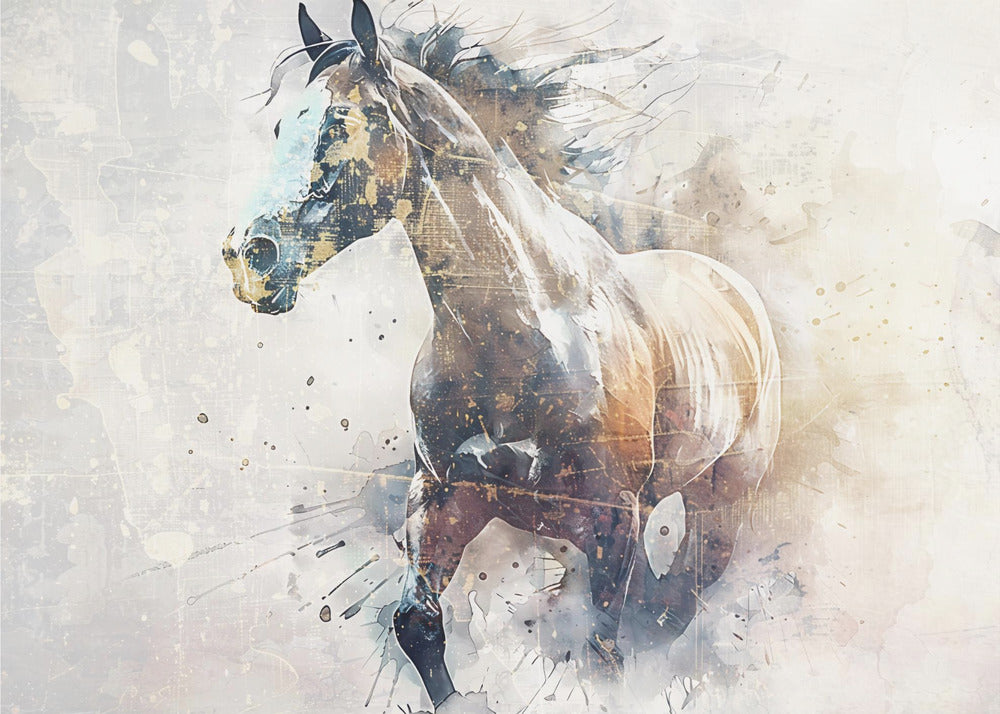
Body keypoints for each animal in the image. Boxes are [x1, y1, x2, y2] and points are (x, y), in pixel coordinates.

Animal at [223, 2, 780, 709]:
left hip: (723, 499)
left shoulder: (614, 521)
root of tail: (735, 291)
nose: (248, 256)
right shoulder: (445, 496)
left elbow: (601, 652)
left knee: (682, 594)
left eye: (341, 121)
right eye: (278, 126)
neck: (519, 338)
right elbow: (417, 623)